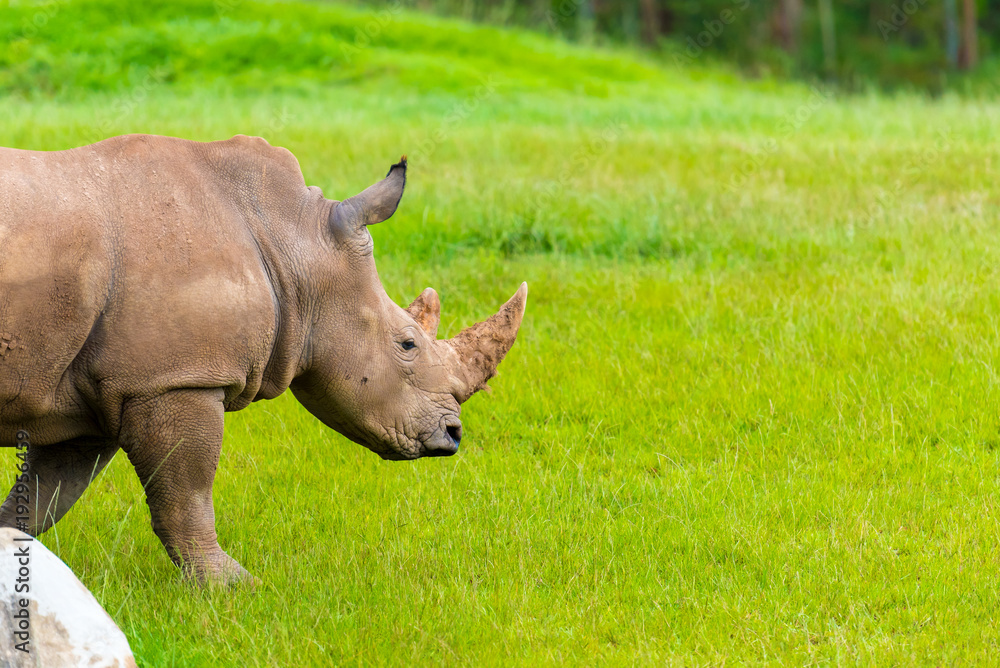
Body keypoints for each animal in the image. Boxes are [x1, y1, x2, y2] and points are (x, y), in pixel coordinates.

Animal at [0, 134, 527, 584]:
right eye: (407, 345)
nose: (453, 435)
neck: (293, 239)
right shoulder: (175, 378)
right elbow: (185, 493)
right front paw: (233, 587)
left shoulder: (102, 390)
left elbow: (43, 499)